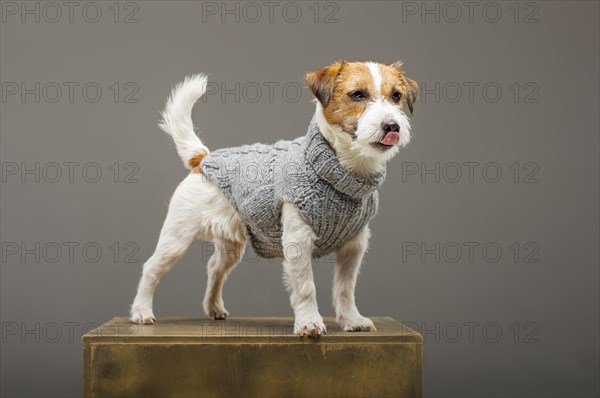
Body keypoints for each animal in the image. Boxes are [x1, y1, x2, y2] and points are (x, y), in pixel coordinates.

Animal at [131, 61, 418, 336]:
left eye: (396, 96)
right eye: (357, 94)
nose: (392, 125)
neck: (341, 171)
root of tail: (203, 159)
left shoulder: (353, 246)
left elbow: (346, 288)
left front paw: (351, 319)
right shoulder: (298, 241)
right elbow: (305, 287)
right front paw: (309, 323)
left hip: (231, 246)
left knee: (214, 267)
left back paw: (214, 307)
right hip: (177, 238)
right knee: (151, 268)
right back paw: (141, 311)